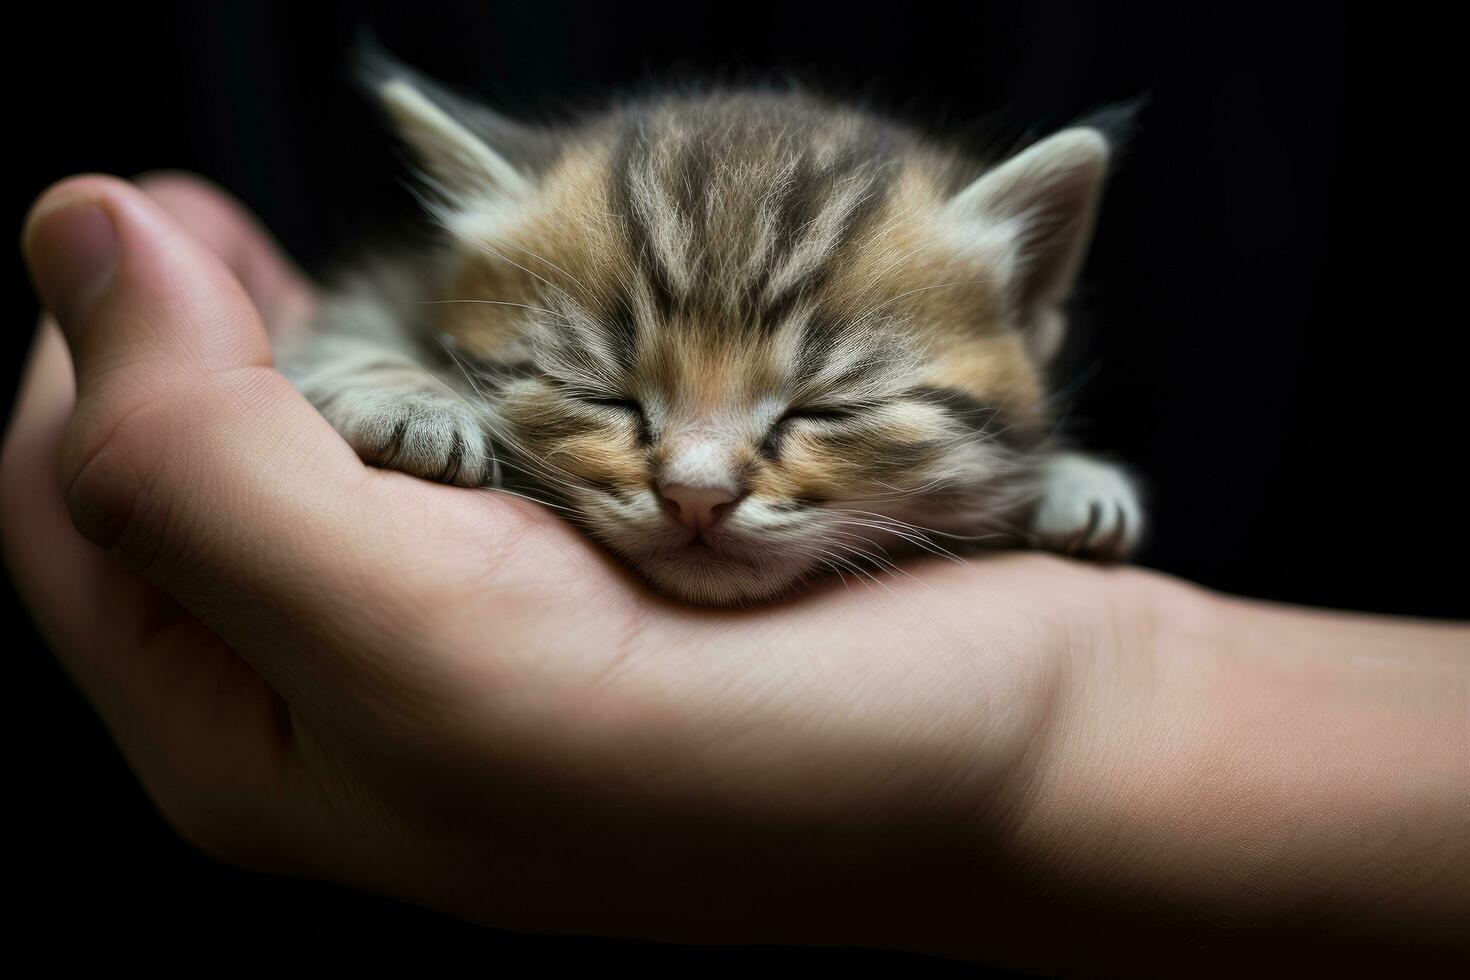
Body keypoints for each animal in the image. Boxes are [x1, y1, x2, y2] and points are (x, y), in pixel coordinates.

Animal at [277, 55, 1146, 605]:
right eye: (605, 397)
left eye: (827, 410)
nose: (696, 497)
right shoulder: (380, 284)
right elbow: (342, 338)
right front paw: (410, 404)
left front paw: (1073, 480)